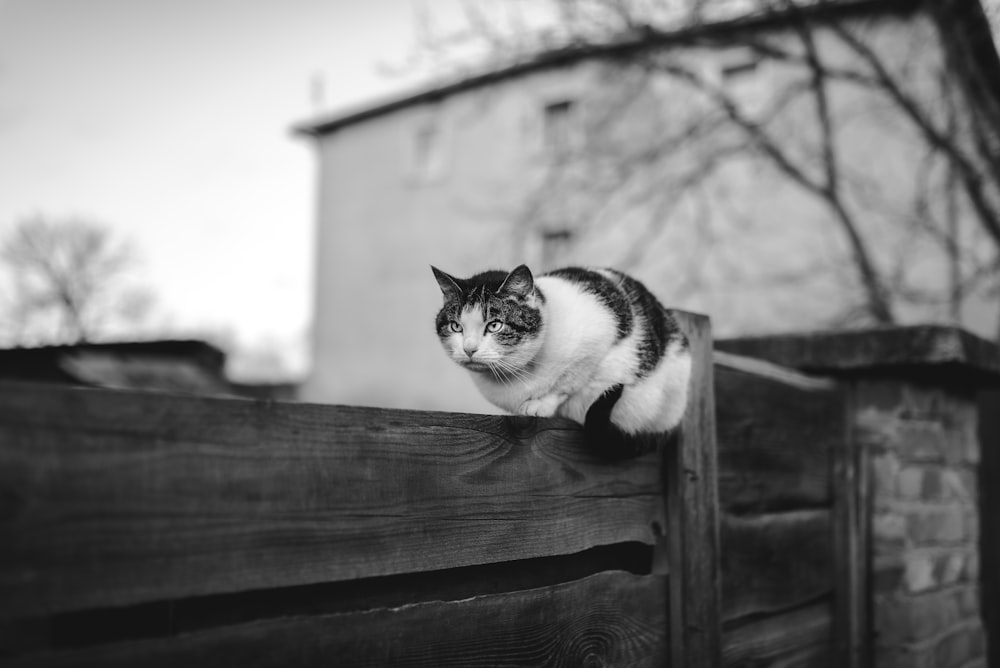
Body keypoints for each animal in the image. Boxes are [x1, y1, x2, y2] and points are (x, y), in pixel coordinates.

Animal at [434, 262, 692, 454]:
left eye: (494, 325)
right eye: (456, 327)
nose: (469, 348)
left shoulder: (597, 338)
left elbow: (567, 383)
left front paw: (540, 404)